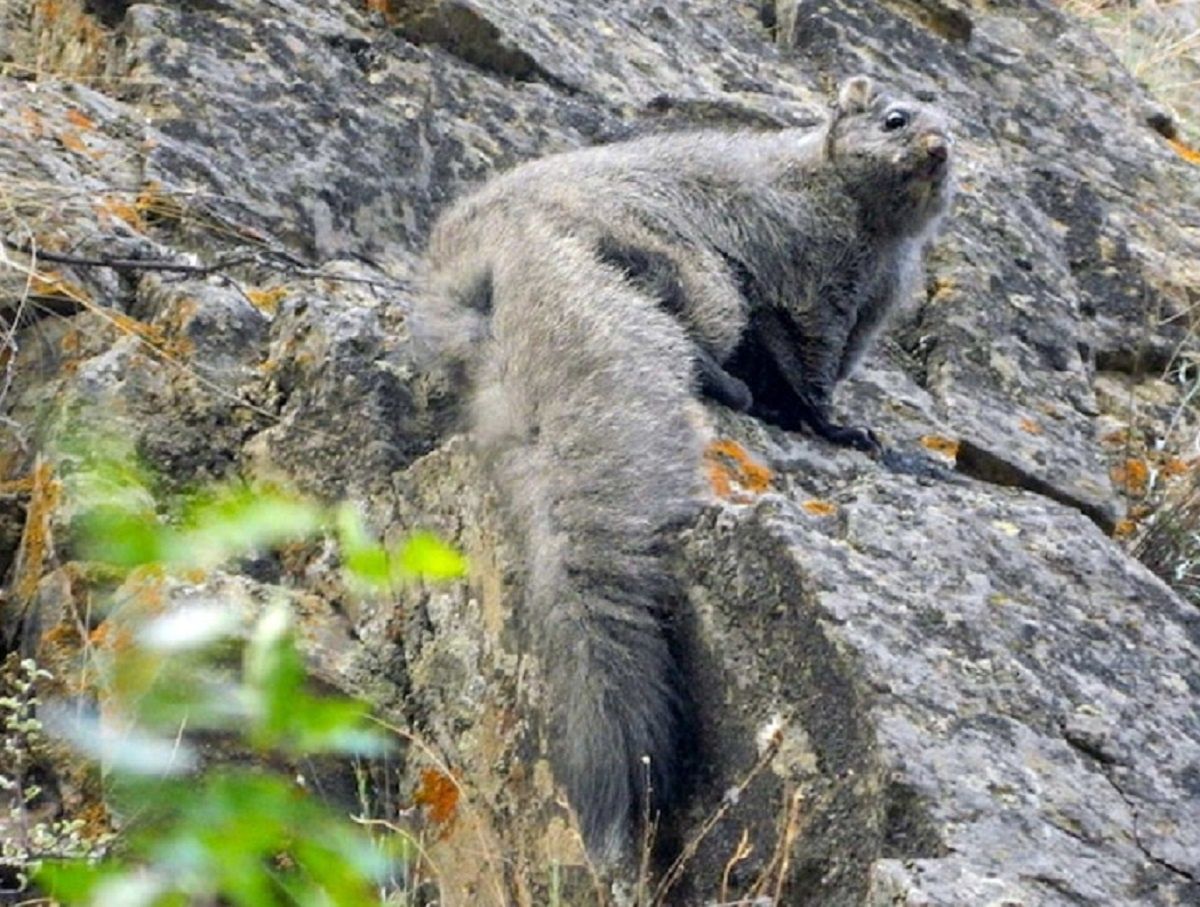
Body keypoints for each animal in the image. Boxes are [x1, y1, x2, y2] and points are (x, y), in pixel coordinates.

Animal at [420, 74, 955, 859]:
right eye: (895, 119)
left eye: (958, 132)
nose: (939, 146)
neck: (879, 246)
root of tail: (492, 247)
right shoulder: (815, 287)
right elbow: (811, 368)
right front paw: (842, 426)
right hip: (694, 270)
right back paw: (727, 384)